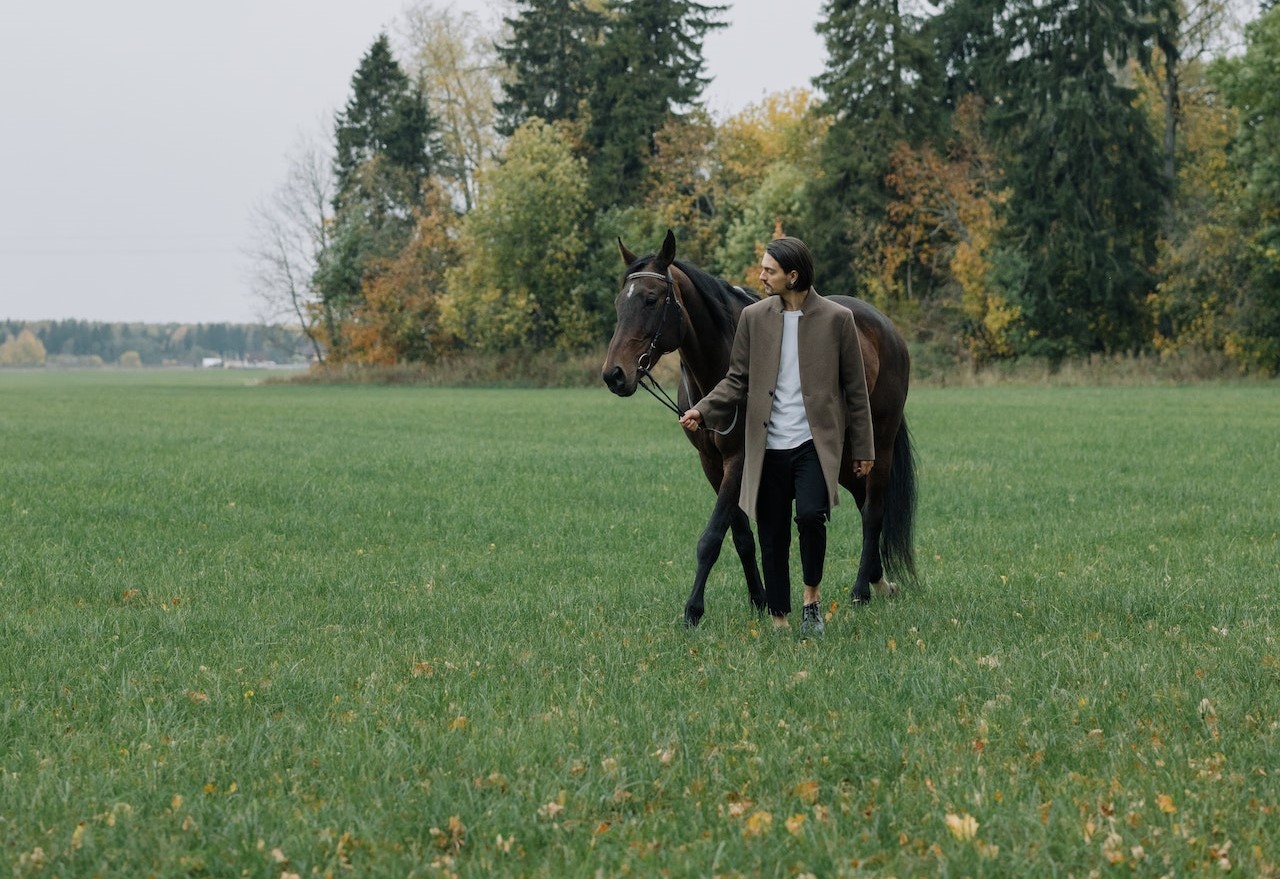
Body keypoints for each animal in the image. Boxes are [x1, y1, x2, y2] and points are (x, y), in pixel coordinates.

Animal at [604, 230, 916, 621]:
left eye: (650, 299)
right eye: (620, 303)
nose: (614, 375)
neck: (723, 364)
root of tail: (886, 329)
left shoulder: (739, 458)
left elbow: (711, 537)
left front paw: (693, 610)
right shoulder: (712, 464)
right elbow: (740, 536)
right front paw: (760, 599)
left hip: (879, 444)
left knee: (873, 510)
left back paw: (861, 590)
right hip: (842, 454)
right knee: (864, 503)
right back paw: (878, 581)